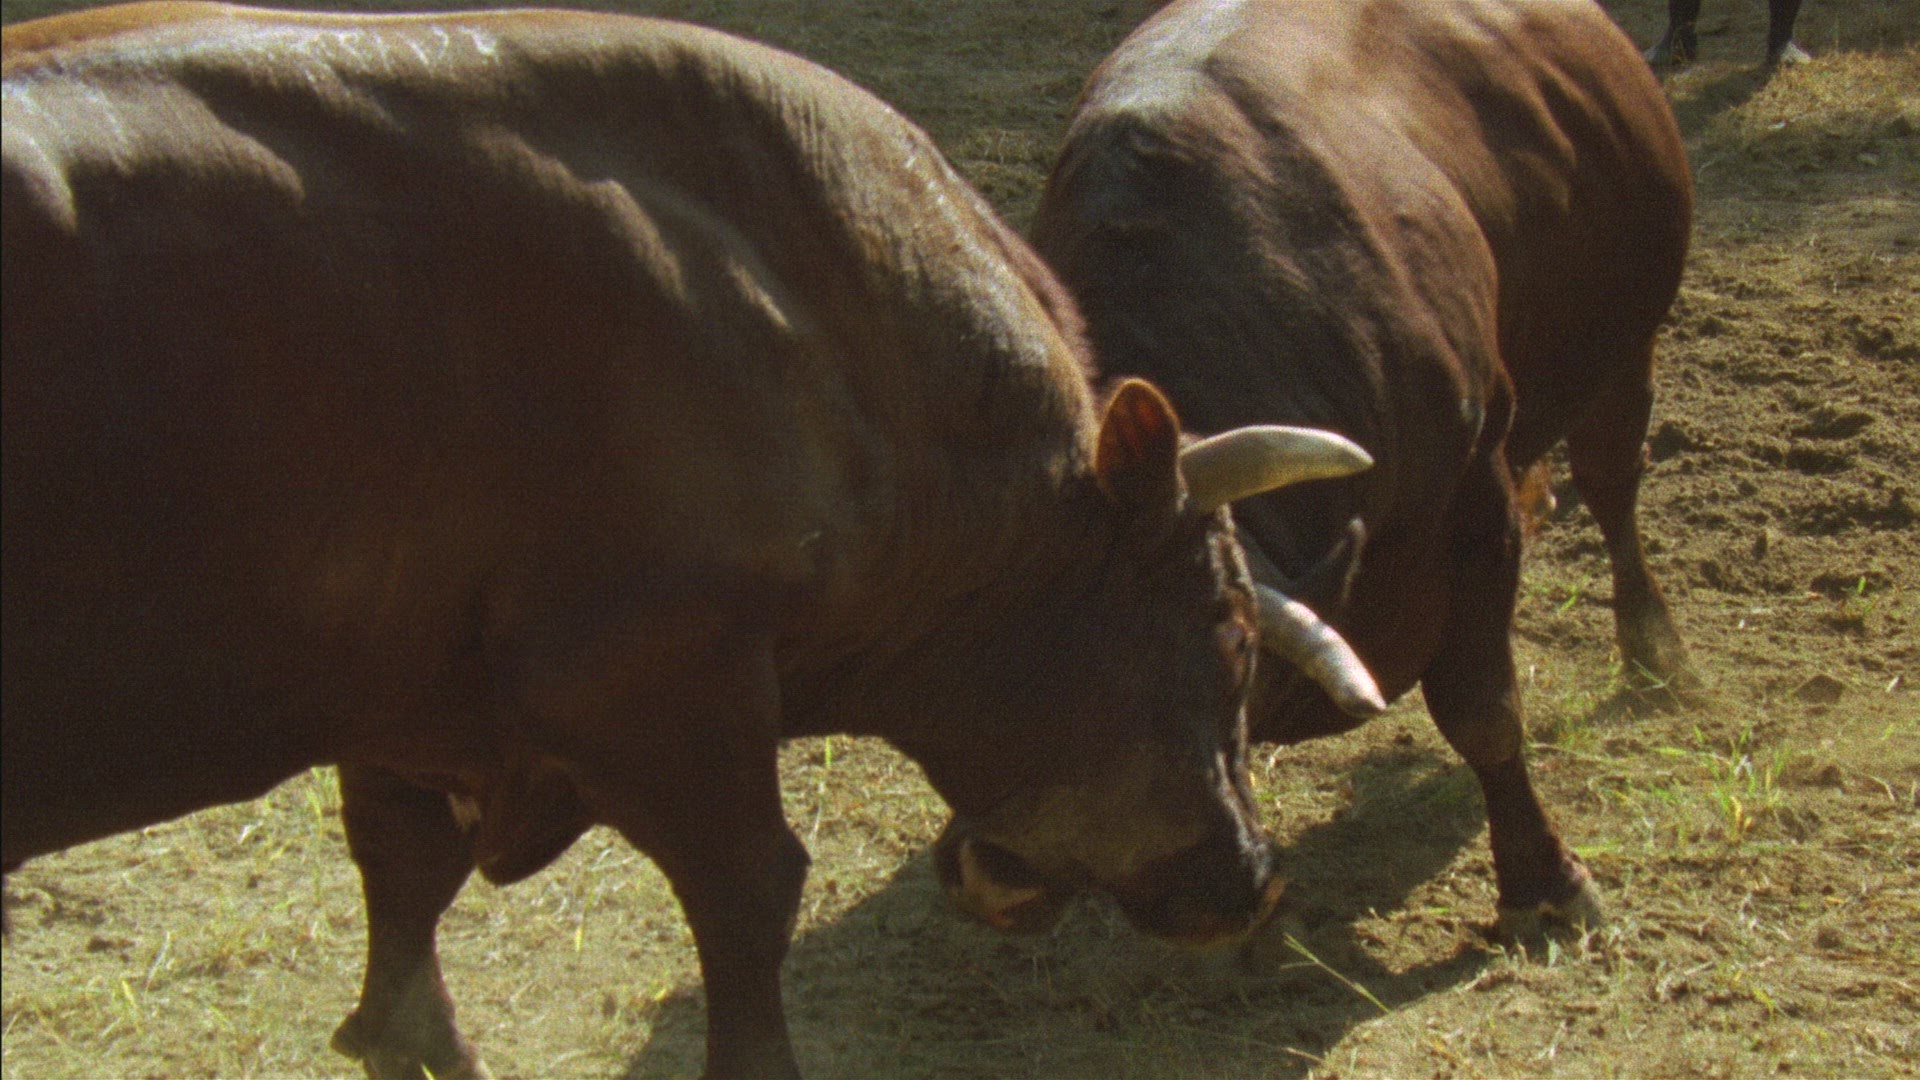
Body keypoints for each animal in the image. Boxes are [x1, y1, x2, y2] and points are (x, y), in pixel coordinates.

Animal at [0, 4, 1387, 1077]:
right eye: (1222, 631)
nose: (1252, 876)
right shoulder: (660, 678)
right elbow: (749, 890)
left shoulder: (405, 690)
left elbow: (400, 893)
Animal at [1029, 0, 1695, 939]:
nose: (998, 876)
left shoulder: (1475, 500)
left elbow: (1485, 713)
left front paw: (1544, 882)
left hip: (1622, 347)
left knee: (1612, 488)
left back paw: (1655, 650)